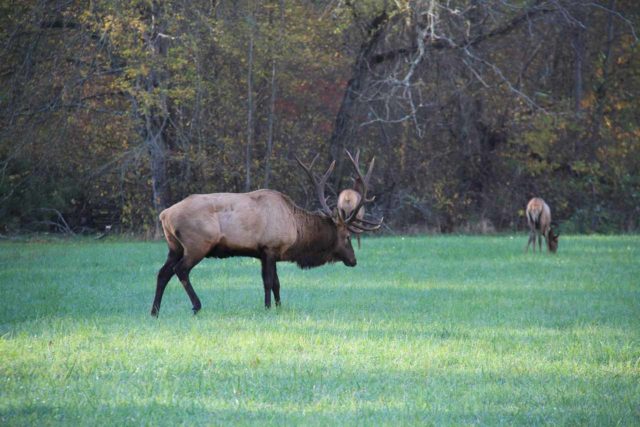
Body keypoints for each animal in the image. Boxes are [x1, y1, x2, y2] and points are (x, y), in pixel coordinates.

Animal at [149, 152, 380, 316]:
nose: (353, 260)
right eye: (347, 237)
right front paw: (268, 308)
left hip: (174, 246)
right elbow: (269, 281)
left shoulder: (264, 252)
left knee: (162, 273)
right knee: (180, 270)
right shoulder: (270, 248)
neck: (295, 229)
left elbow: (275, 282)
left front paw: (278, 306)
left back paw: (154, 311)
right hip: (197, 244)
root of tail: (164, 214)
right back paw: (196, 306)